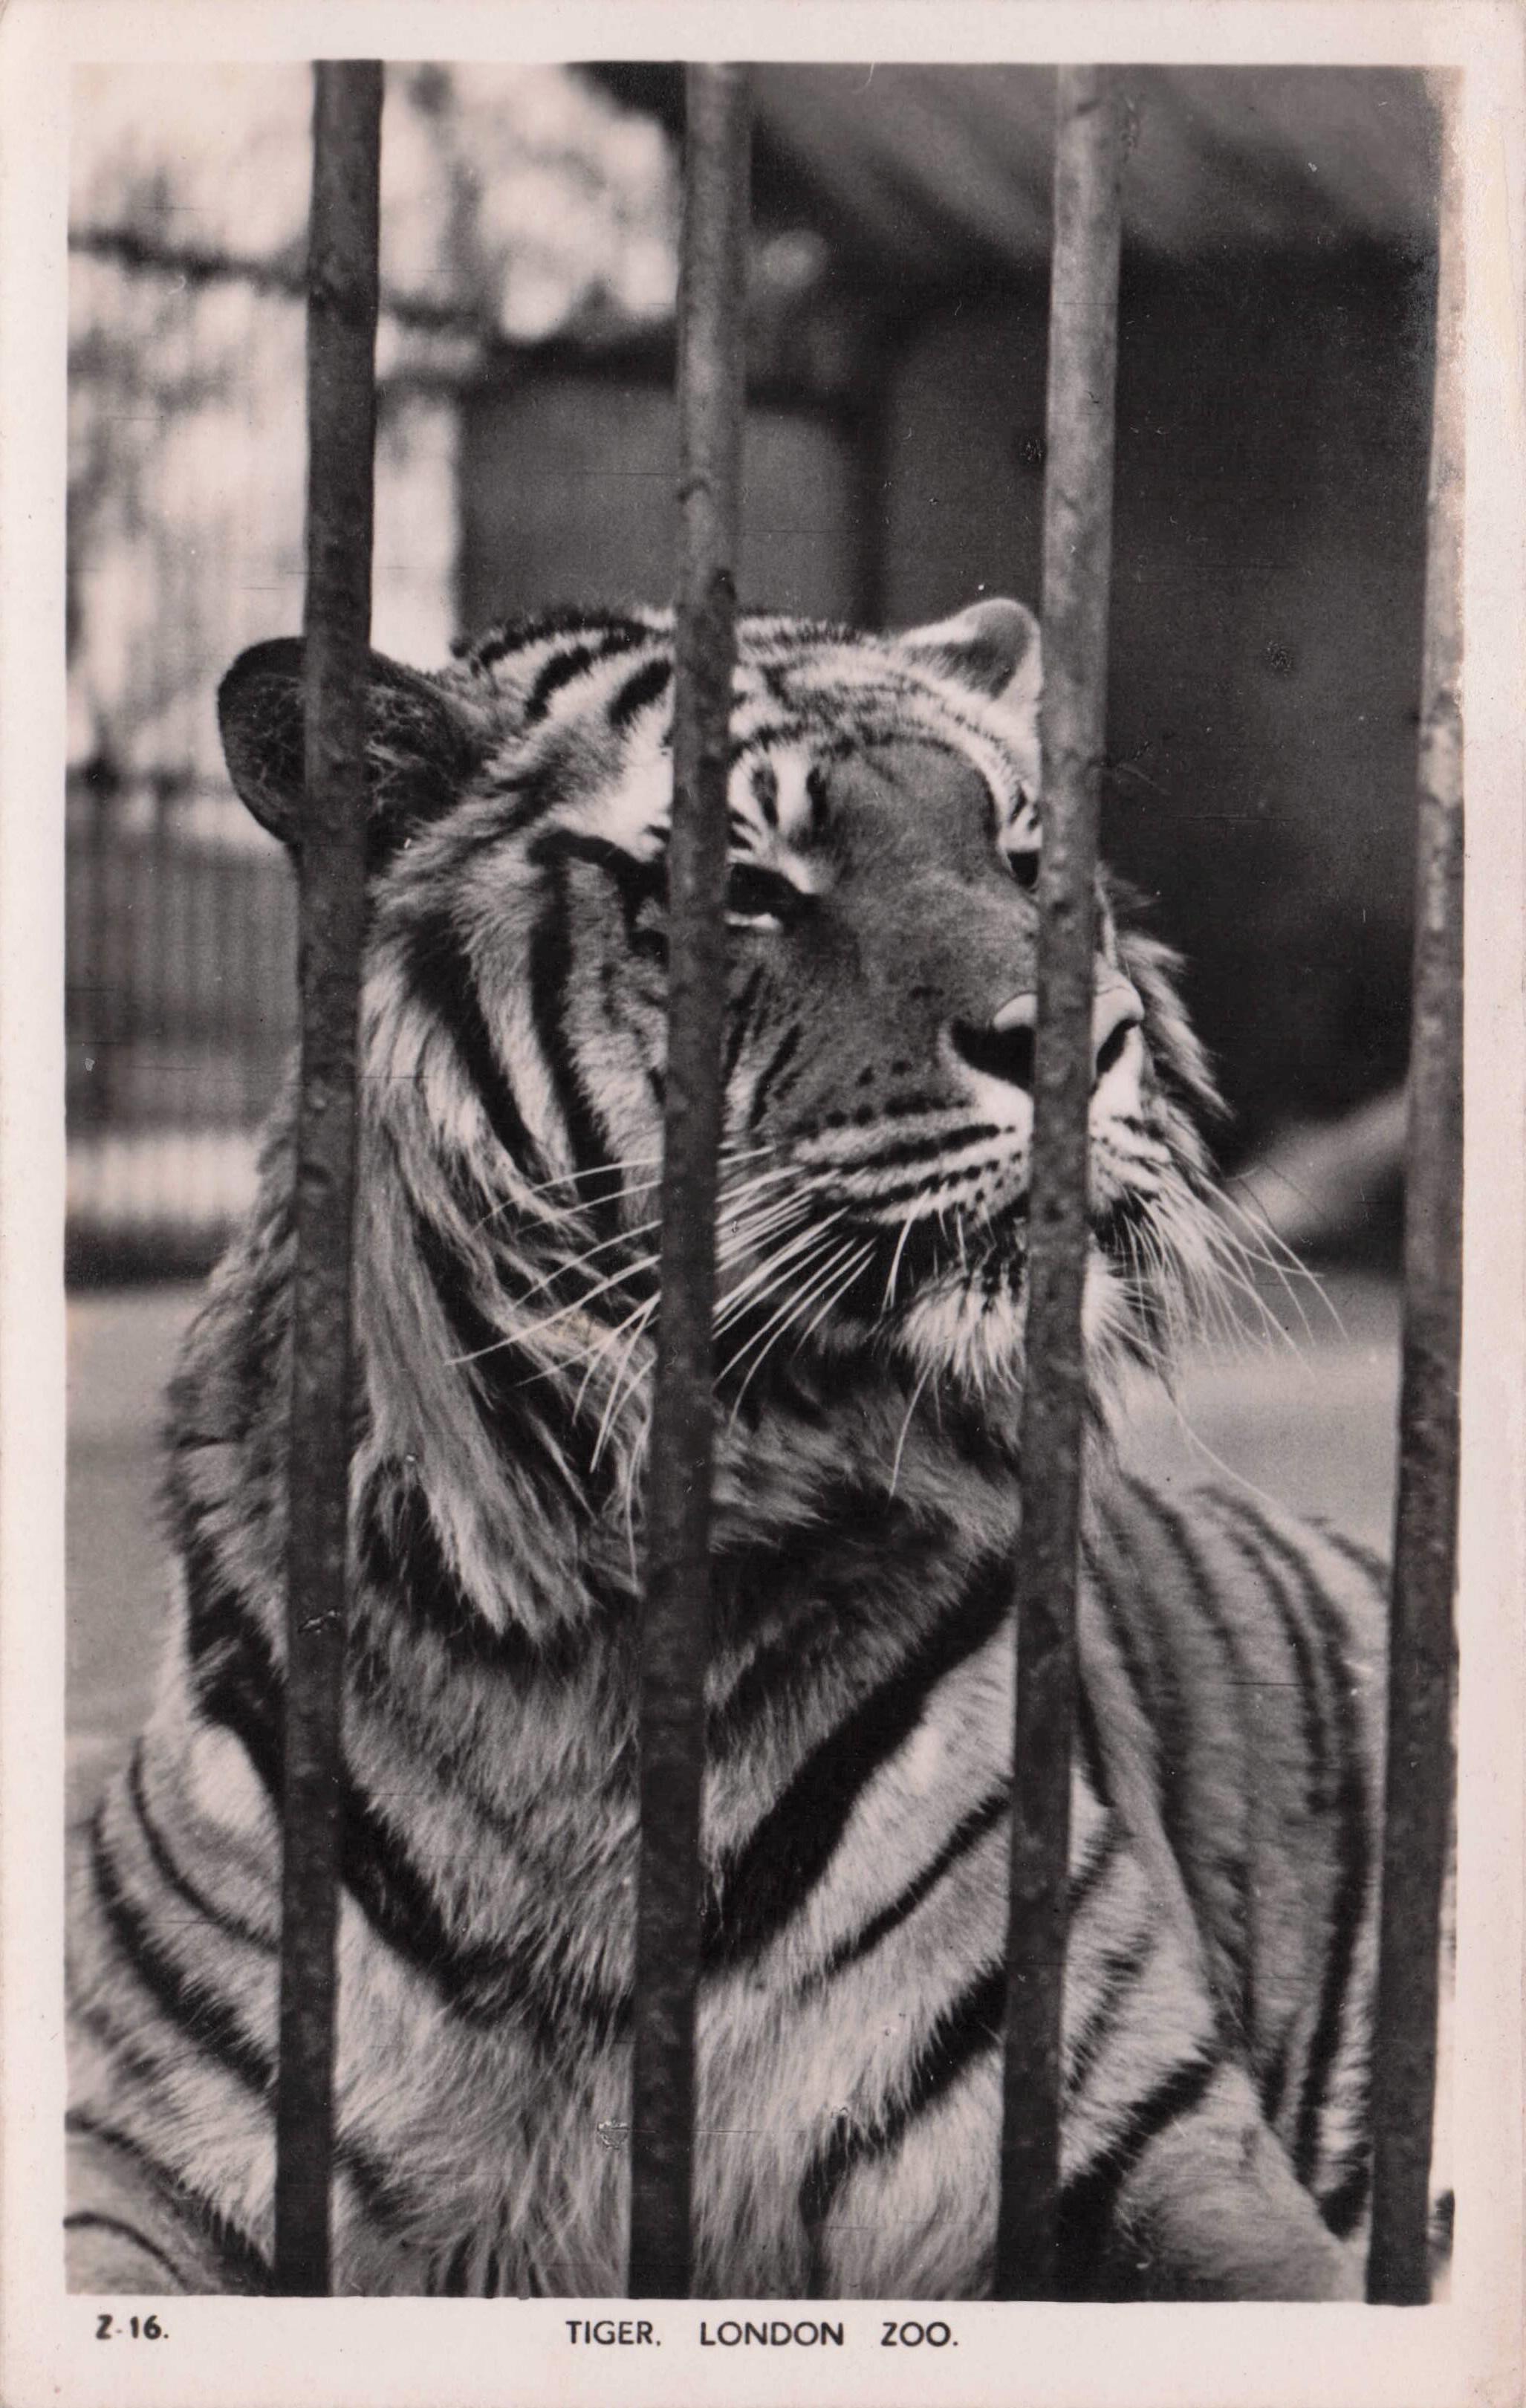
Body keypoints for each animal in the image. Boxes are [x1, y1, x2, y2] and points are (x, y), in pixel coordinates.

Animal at [66, 595, 1395, 2301]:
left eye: (1026, 859)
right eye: (746, 889)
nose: (1084, 1041)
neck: (579, 1617)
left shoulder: (1155, 2155)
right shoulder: (141, 2147)